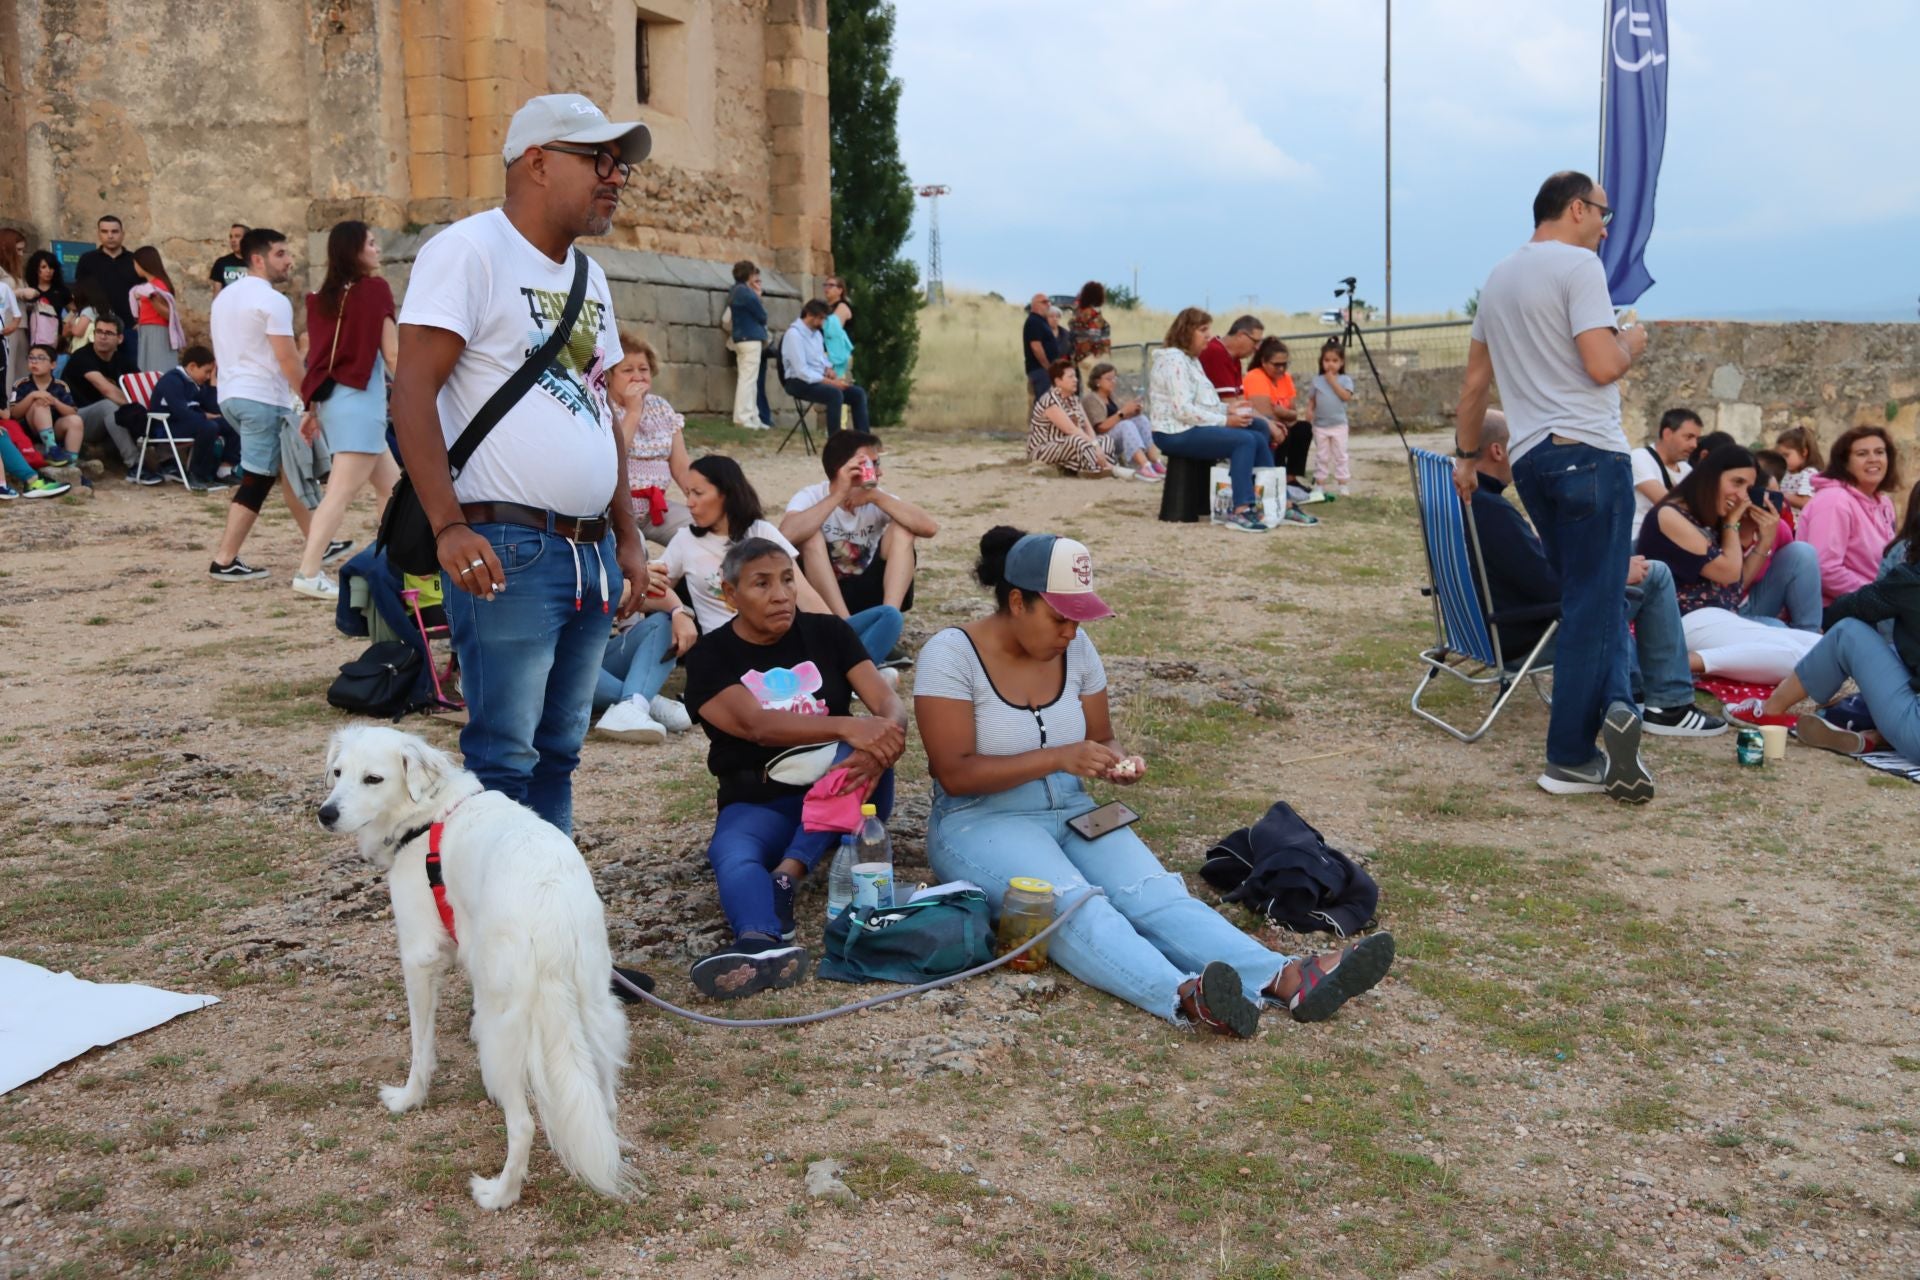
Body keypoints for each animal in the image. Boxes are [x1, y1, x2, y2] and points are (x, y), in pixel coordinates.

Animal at [322, 725, 633, 1205]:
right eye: (338, 772)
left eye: (373, 779)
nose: (326, 814)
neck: (428, 814)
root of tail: (550, 911)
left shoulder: (419, 957)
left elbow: (420, 1048)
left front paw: (408, 1098)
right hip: (597, 1011)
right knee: (606, 1104)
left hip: (503, 1035)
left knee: (523, 1126)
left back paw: (498, 1194)